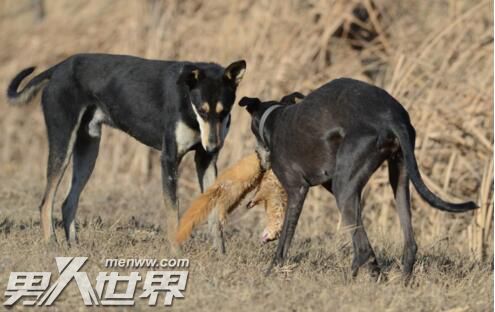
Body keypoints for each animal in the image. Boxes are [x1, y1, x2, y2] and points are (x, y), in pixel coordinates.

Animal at [6, 53, 247, 246]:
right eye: (202, 110)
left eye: (224, 111)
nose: (214, 146)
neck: (188, 101)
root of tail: (59, 68)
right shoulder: (169, 159)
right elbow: (173, 212)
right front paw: (176, 252)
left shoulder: (205, 161)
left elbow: (214, 211)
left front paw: (219, 254)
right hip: (62, 144)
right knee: (46, 202)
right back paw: (51, 244)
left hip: (88, 152)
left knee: (68, 203)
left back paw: (74, 247)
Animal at [241, 77, 480, 276]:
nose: (260, 161)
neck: (274, 119)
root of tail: (390, 116)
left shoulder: (297, 190)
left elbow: (284, 240)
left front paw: (271, 272)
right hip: (398, 177)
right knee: (408, 244)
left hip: (344, 188)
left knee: (363, 250)